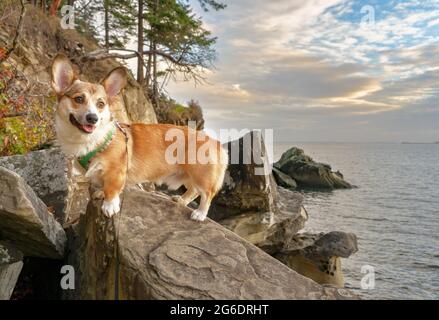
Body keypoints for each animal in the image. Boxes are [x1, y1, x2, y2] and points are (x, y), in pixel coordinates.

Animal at [52, 53, 227, 221]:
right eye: (78, 99)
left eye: (101, 104)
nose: (92, 118)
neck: (91, 140)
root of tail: (217, 143)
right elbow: (104, 187)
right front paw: (101, 193)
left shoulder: (116, 172)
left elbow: (112, 190)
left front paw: (109, 206)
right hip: (187, 176)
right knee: (193, 191)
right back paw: (181, 201)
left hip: (201, 175)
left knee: (206, 194)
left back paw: (200, 214)